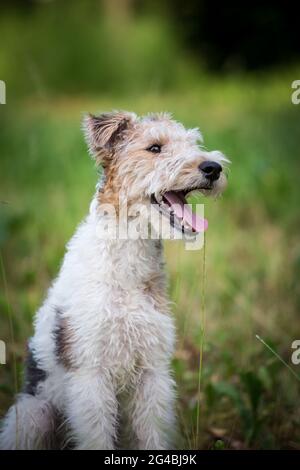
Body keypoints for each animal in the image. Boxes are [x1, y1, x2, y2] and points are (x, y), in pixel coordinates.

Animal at [0, 111, 227, 452]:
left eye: (192, 143)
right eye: (155, 148)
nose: (213, 168)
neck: (127, 266)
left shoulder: (153, 370)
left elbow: (152, 434)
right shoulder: (90, 374)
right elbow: (96, 436)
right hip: (33, 416)